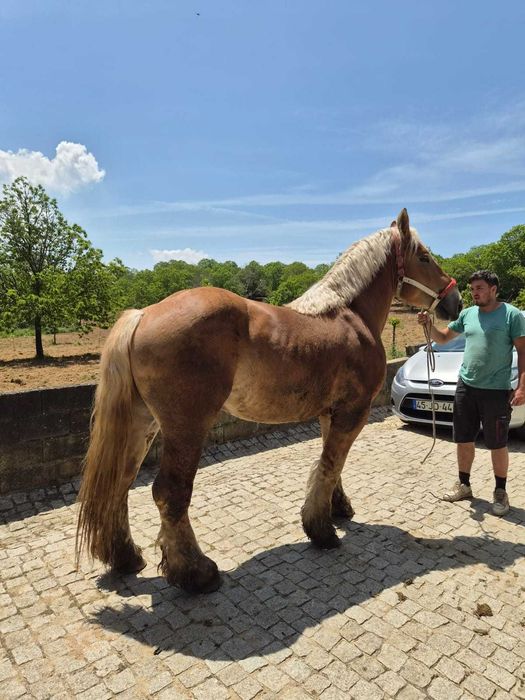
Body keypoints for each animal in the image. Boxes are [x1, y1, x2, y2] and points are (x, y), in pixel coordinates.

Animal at [76, 208, 461, 594]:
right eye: (424, 257)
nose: (455, 301)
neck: (351, 316)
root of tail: (144, 314)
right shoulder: (354, 412)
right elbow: (330, 464)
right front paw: (321, 531)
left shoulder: (330, 413)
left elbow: (331, 464)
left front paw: (336, 508)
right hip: (186, 428)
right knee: (170, 492)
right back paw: (196, 573)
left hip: (142, 424)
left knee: (120, 483)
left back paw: (126, 557)